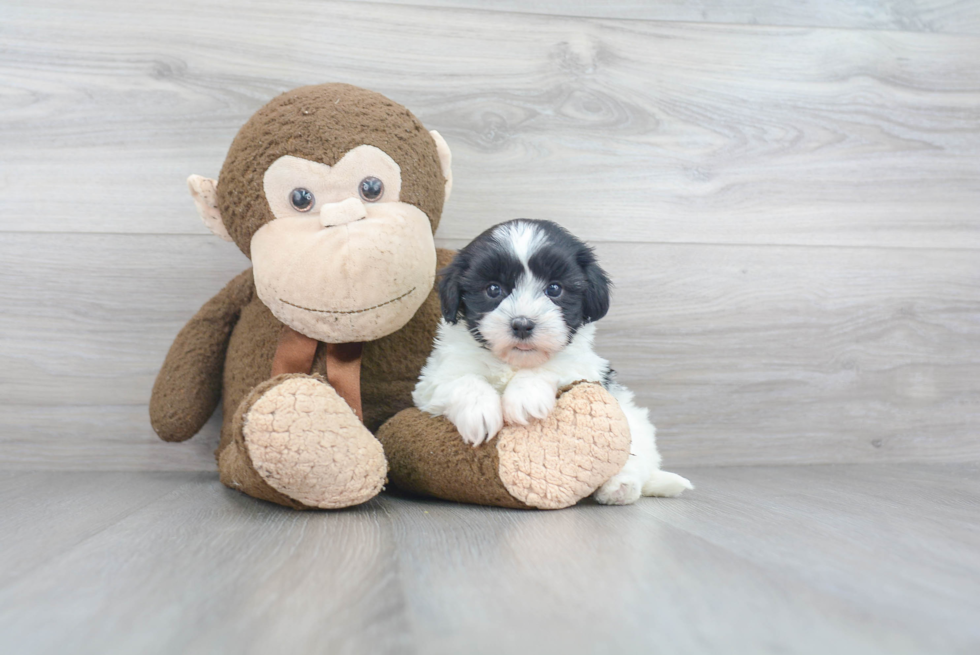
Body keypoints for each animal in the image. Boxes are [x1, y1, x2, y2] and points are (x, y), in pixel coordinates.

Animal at [410, 220, 692, 508]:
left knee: (636, 460)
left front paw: (524, 396)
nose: (522, 324)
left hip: (635, 425)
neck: (514, 362)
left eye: (554, 289)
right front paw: (479, 411)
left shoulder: (585, 367)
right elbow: (462, 380)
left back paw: (620, 487)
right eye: (493, 289)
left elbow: (553, 365)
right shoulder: (433, 378)